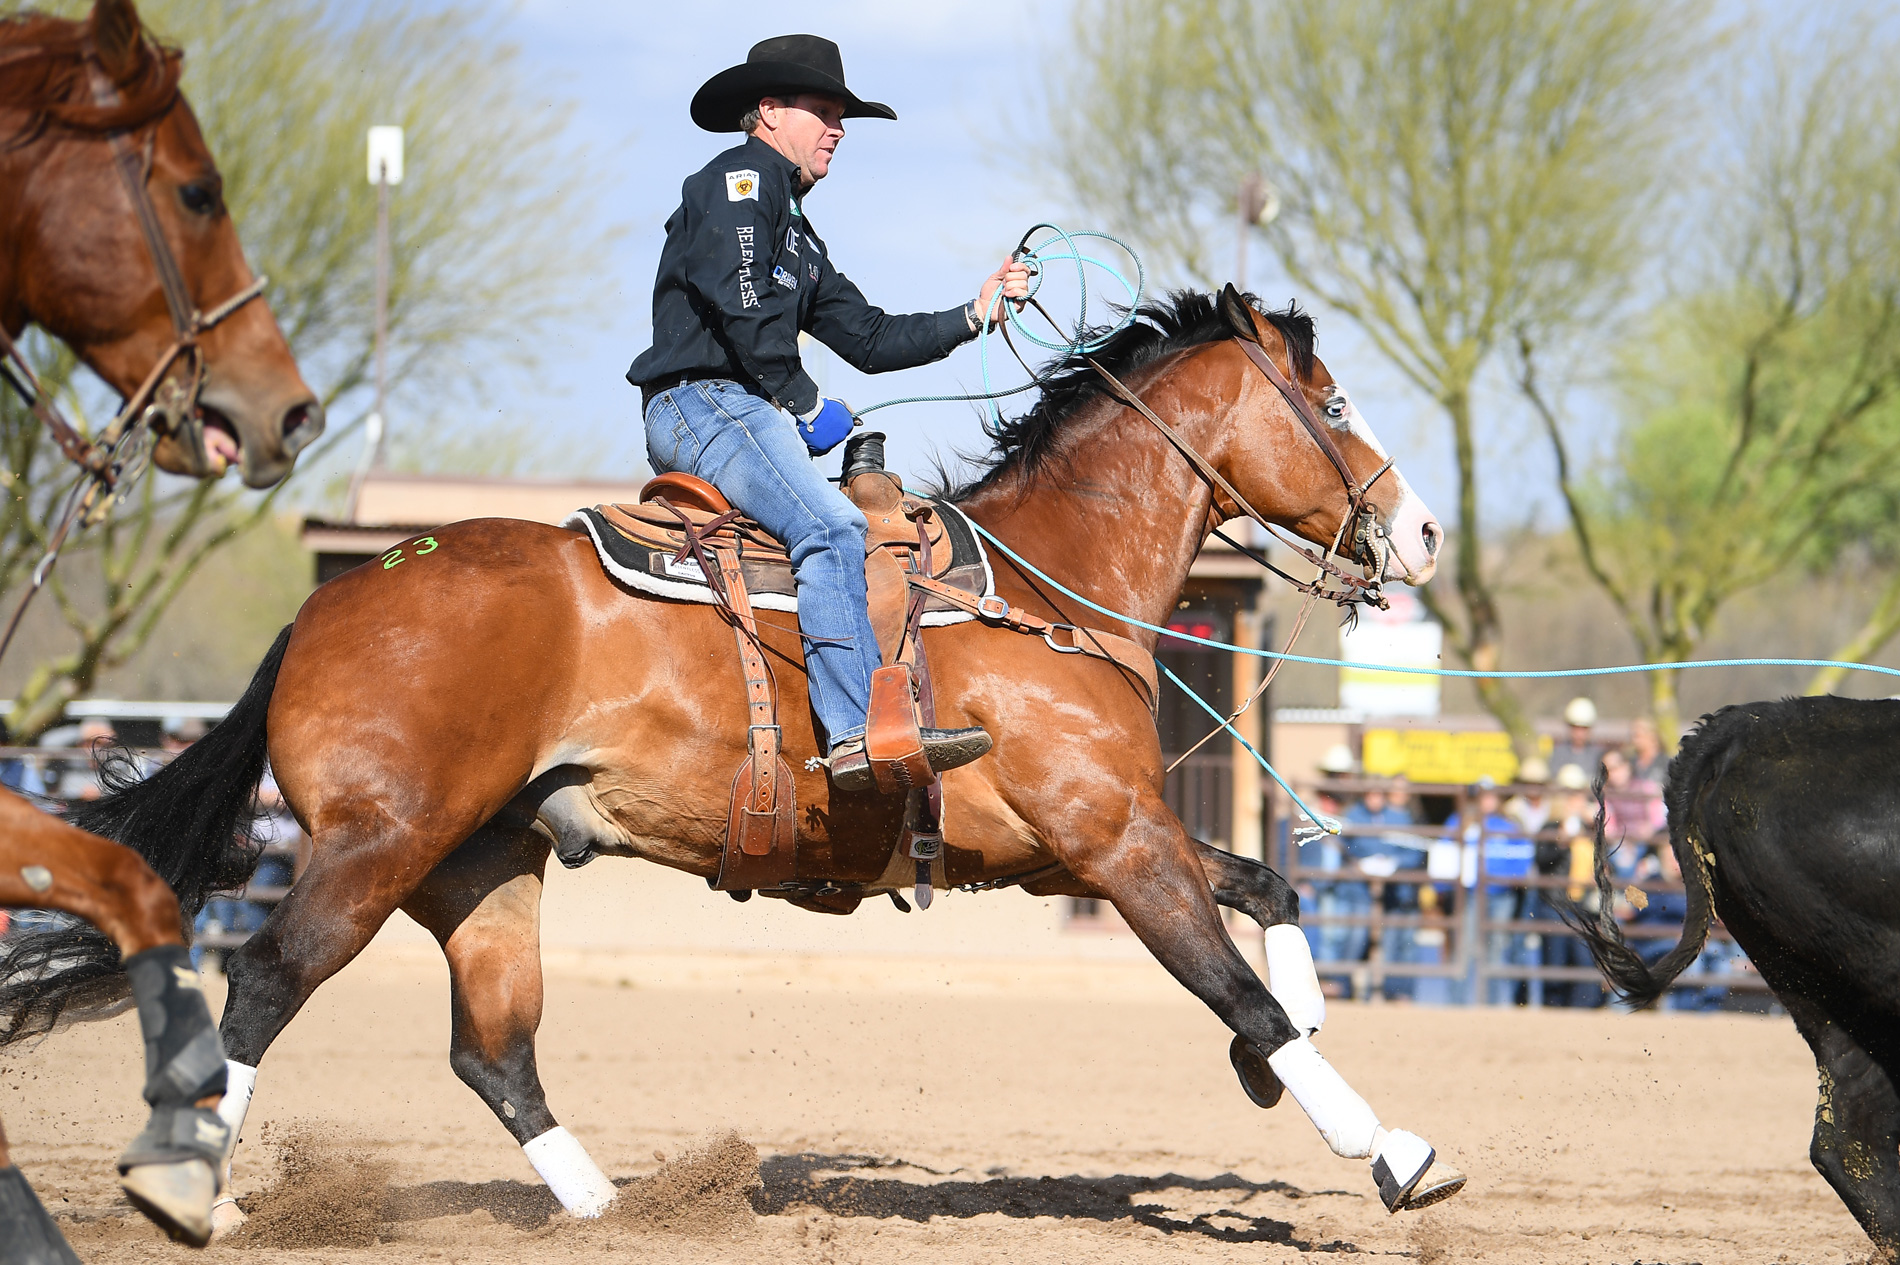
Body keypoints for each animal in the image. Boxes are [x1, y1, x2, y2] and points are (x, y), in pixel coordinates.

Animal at [7, 285, 1460, 1230]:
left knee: (494, 1050)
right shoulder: (1116, 840)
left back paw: (612, 1205)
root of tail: (333, 603)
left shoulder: (1075, 851)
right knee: (262, 981)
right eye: (1330, 400)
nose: (1425, 530)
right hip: (376, 845)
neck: (1045, 587)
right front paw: (1389, 1146)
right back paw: (198, 1192)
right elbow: (1238, 989)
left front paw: (1302, 1038)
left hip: (484, 865)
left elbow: (1269, 892)